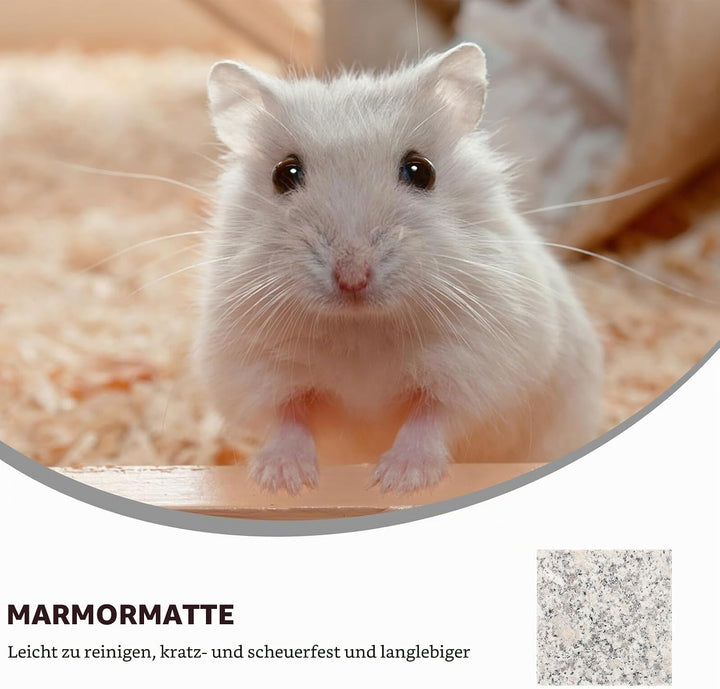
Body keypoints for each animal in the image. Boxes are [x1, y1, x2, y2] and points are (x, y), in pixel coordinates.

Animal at [196, 43, 603, 494]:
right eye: (284, 173)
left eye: (420, 170)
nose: (352, 277)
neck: (361, 329)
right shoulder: (254, 370)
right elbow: (286, 418)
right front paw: (285, 481)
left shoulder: (479, 367)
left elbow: (432, 418)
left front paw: (398, 480)